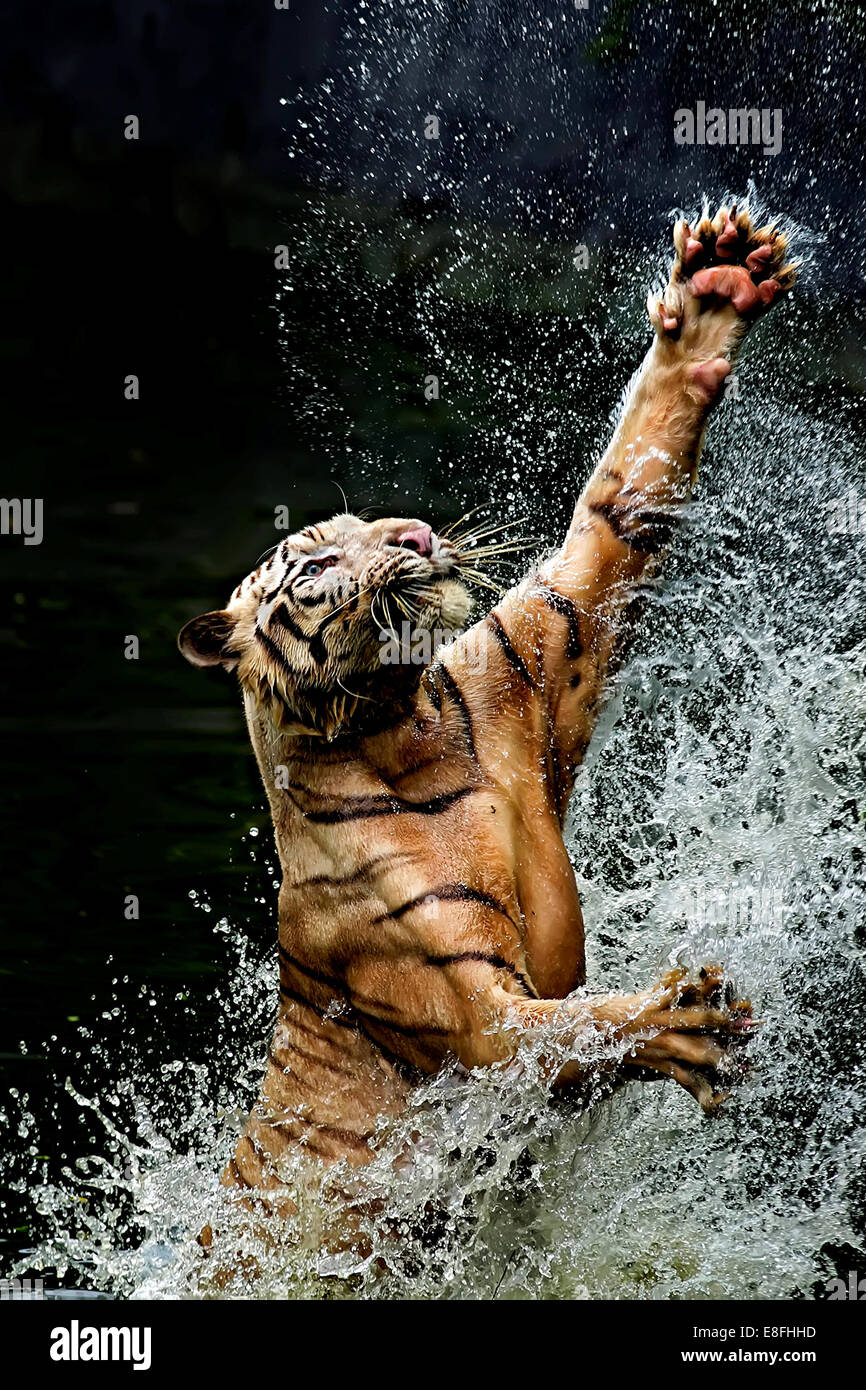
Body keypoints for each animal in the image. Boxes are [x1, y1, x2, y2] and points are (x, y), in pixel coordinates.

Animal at [177, 202, 800, 1228]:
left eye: (366, 525)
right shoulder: (476, 1019)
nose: (416, 533)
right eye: (318, 562)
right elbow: (568, 1029)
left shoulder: (536, 645)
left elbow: (618, 502)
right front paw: (681, 1018)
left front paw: (714, 292)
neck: (407, 727)